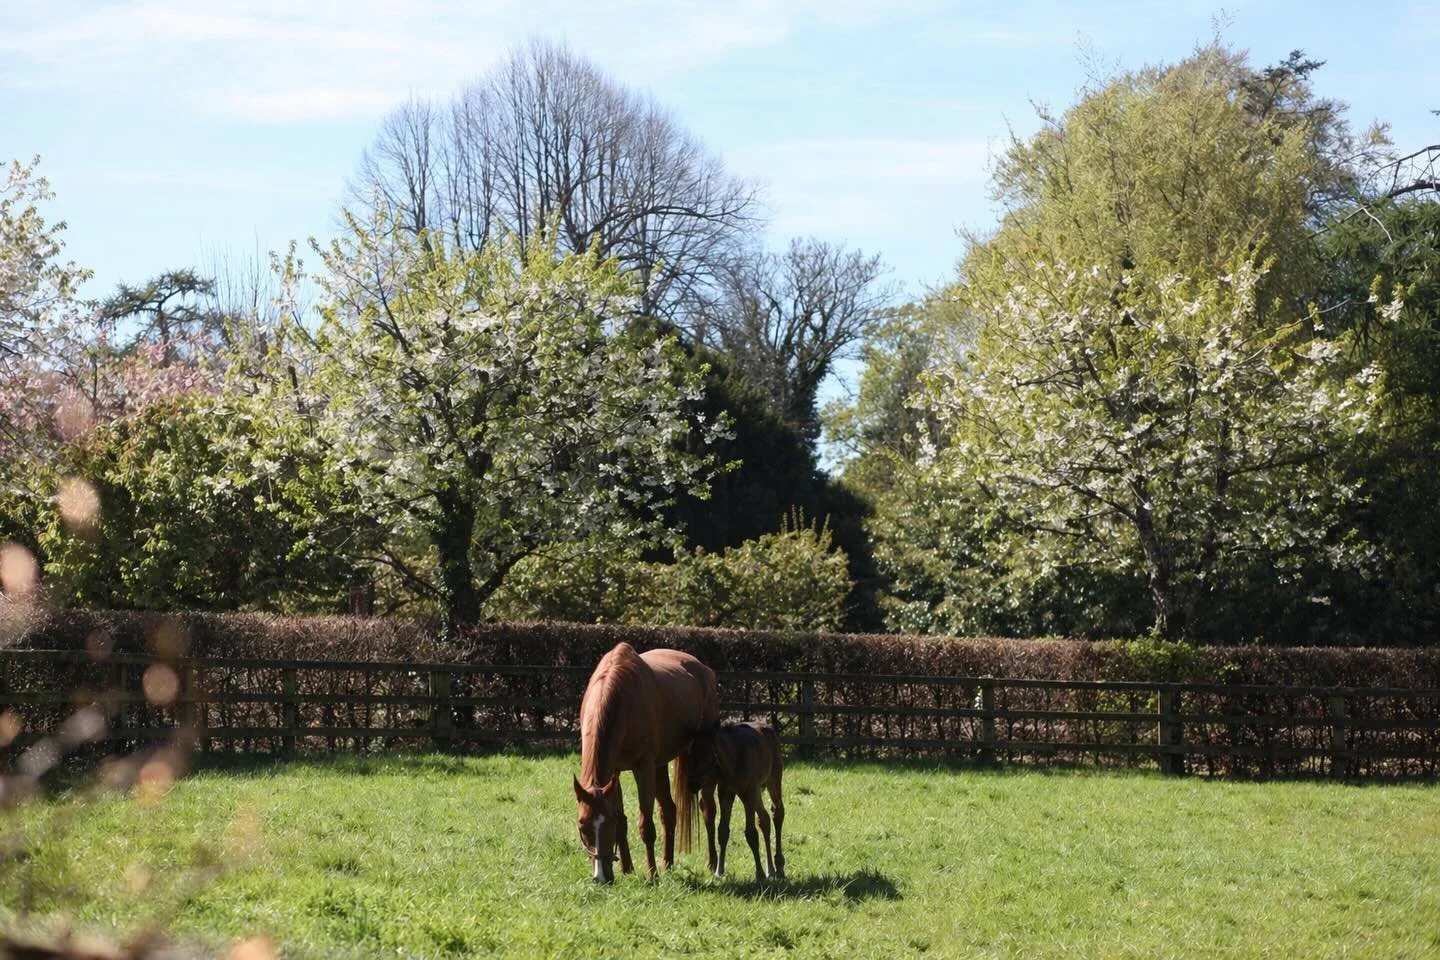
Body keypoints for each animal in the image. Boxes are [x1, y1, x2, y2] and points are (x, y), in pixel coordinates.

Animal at [573, 643, 718, 883]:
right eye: (582, 824)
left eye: (607, 824)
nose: (601, 877)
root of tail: (704, 670)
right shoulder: (615, 772)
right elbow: (623, 821)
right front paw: (627, 869)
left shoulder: (643, 768)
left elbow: (646, 825)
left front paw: (652, 874)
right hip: (660, 766)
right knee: (669, 811)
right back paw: (668, 864)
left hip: (697, 764)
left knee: (708, 810)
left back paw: (713, 864)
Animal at [683, 720, 785, 882]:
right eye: (689, 754)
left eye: (709, 754)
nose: (692, 784)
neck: (735, 757)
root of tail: (768, 728)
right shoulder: (726, 793)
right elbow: (722, 831)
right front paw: (719, 871)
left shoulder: (749, 792)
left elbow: (751, 833)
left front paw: (759, 873)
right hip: (755, 792)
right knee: (764, 819)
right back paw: (771, 870)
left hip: (773, 780)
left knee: (778, 813)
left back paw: (779, 865)